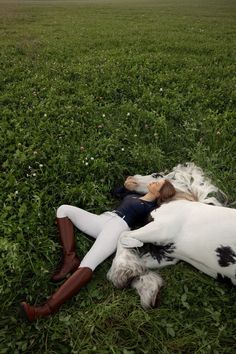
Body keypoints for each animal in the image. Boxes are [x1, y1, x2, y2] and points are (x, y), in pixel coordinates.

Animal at [107, 162, 236, 306]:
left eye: (156, 175)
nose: (129, 179)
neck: (178, 201)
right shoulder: (168, 255)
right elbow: (141, 265)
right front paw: (145, 289)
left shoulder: (160, 229)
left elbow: (123, 235)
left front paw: (121, 270)